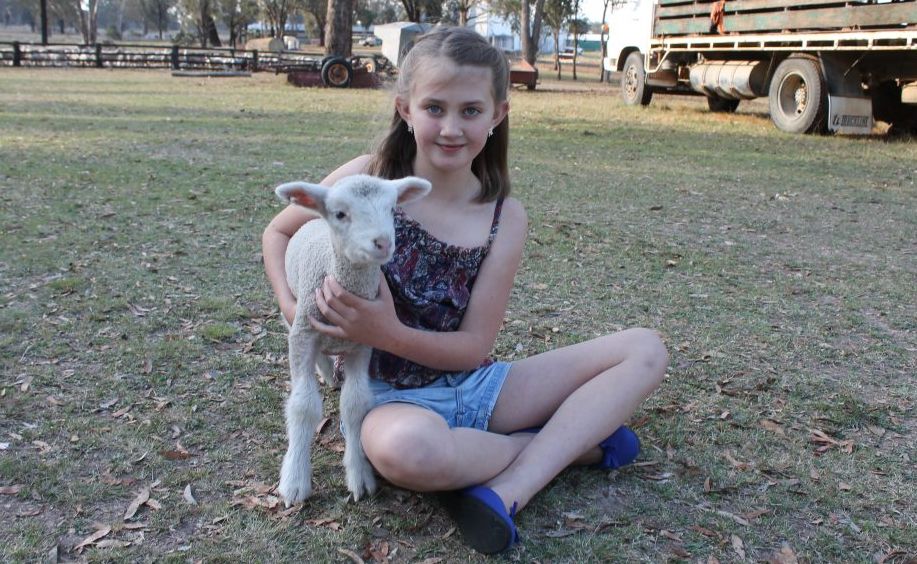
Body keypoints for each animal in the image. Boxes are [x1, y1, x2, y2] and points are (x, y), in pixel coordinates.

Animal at [273, 174, 432, 506]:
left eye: (392, 209)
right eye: (340, 214)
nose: (383, 243)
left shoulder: (363, 343)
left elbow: (355, 404)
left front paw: (359, 476)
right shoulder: (303, 333)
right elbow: (303, 406)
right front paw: (295, 481)